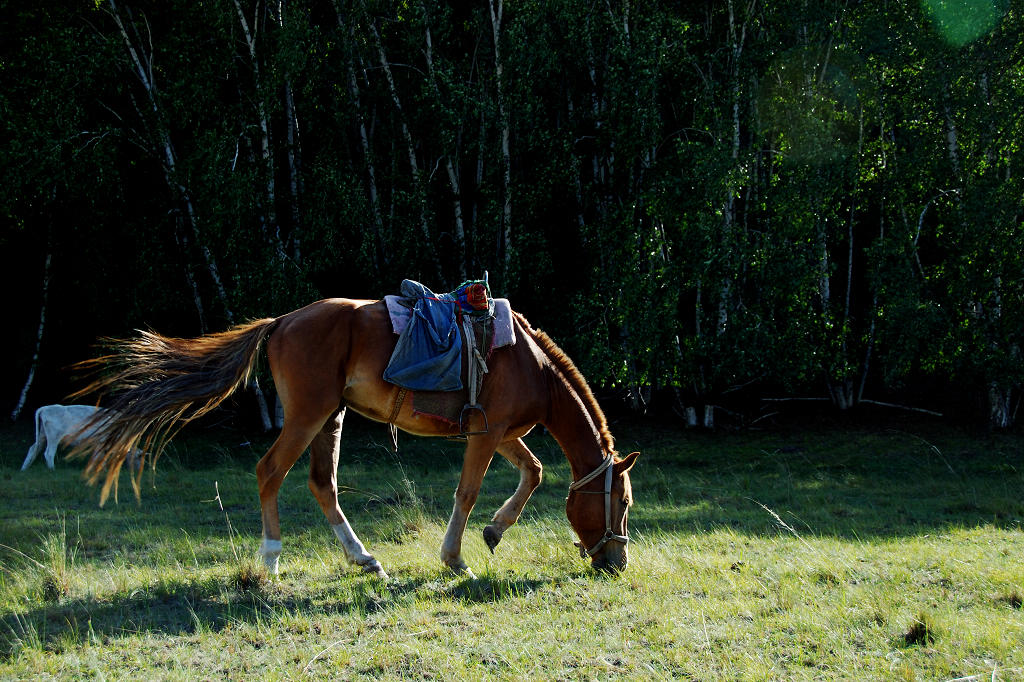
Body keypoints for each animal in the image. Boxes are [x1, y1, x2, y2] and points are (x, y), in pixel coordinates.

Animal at [72, 296, 634, 573]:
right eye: (623, 503)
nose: (618, 562)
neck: (531, 365)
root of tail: (281, 321)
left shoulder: (498, 432)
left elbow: (533, 471)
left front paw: (494, 531)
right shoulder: (488, 432)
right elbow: (468, 491)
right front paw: (455, 559)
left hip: (330, 420)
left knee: (323, 485)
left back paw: (363, 558)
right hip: (307, 417)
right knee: (269, 471)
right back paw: (271, 558)